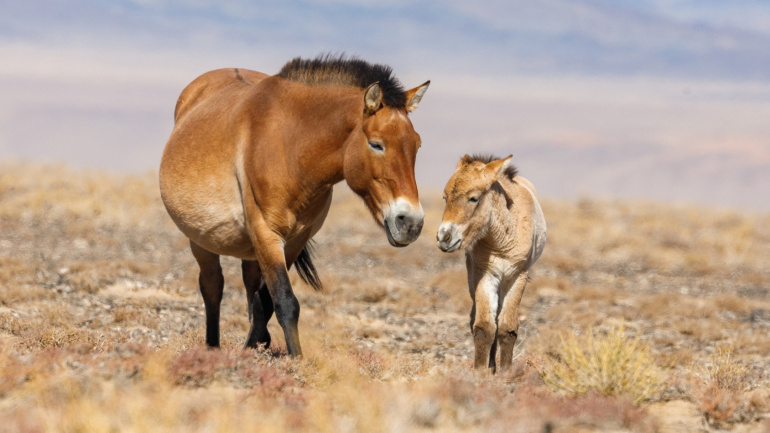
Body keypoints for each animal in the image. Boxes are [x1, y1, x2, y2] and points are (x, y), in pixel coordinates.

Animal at [160, 55, 428, 356]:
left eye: (417, 145)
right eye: (376, 144)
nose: (411, 223)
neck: (290, 146)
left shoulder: (294, 241)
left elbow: (265, 301)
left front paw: (254, 346)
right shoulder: (266, 233)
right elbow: (286, 302)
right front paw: (296, 360)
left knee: (248, 282)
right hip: (200, 239)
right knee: (212, 286)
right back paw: (212, 348)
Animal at [436, 154, 544, 370]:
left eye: (474, 198)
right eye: (445, 197)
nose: (444, 238)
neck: (502, 239)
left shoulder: (517, 277)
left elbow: (507, 328)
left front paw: (506, 372)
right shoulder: (485, 275)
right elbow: (484, 327)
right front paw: (480, 372)